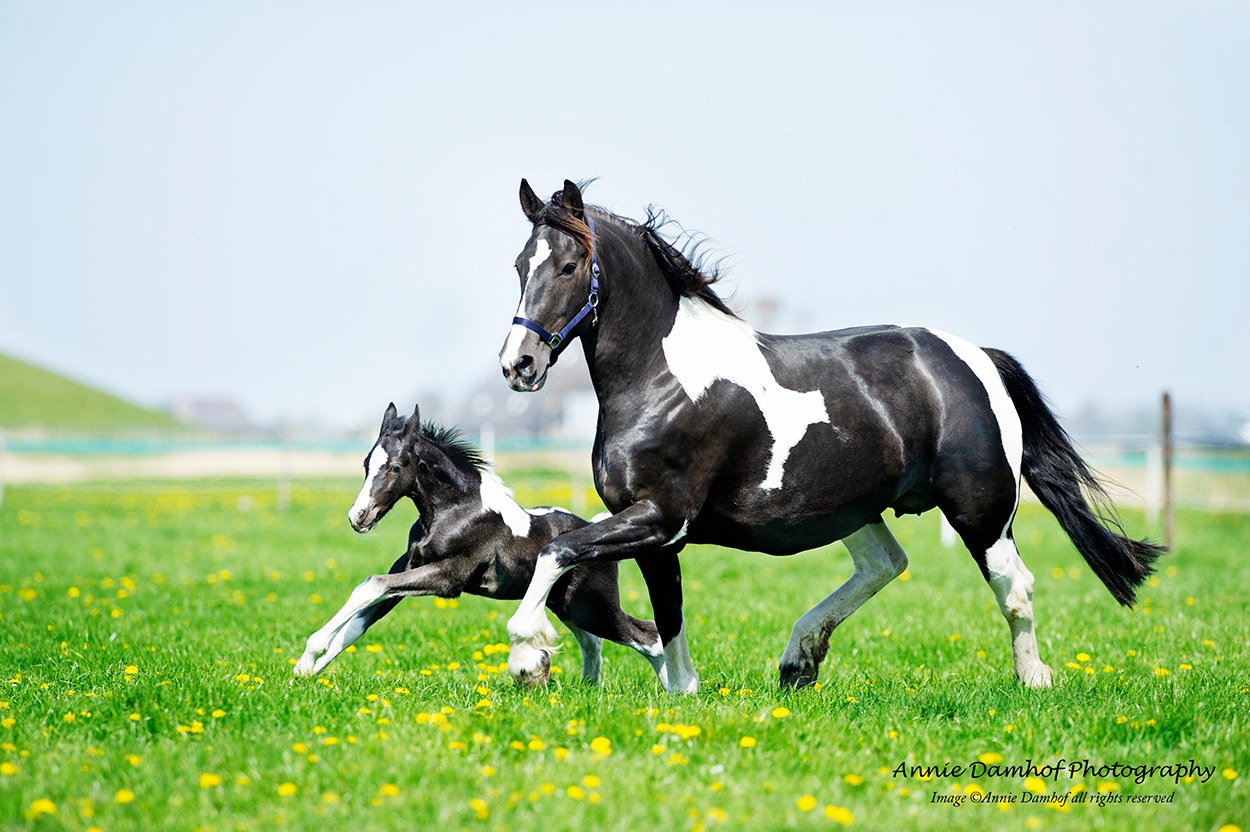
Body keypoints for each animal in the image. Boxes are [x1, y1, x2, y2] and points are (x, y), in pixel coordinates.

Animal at [293, 399, 670, 679]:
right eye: (366, 464)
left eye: (396, 467)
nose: (358, 517)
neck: (455, 510)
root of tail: (596, 530)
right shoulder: (409, 567)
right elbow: (360, 620)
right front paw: (307, 669)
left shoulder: (448, 577)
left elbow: (370, 585)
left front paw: (310, 652)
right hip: (567, 605)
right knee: (594, 644)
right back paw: (585, 689)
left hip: (593, 605)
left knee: (648, 636)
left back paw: (674, 694)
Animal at [495, 178, 1160, 689]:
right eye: (519, 265)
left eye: (570, 265)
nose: (518, 365)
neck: (665, 380)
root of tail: (975, 359)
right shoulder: (657, 536)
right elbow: (669, 620)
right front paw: (683, 693)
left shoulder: (659, 518)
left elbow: (558, 550)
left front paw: (529, 654)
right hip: (855, 508)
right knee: (887, 563)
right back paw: (799, 660)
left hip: (981, 511)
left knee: (1013, 586)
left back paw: (1033, 680)